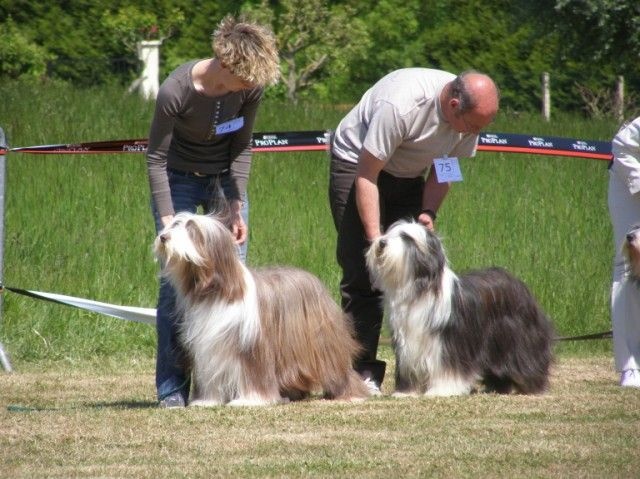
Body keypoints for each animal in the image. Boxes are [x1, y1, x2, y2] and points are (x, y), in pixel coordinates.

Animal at [153, 212, 368, 406]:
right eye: (174, 224)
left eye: (191, 229)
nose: (163, 237)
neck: (217, 291)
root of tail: (314, 279)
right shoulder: (210, 348)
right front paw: (207, 401)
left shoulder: (251, 348)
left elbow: (252, 376)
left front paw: (249, 400)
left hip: (323, 344)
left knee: (338, 368)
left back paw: (350, 393)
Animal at [365, 220, 554, 396]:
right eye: (390, 232)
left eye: (406, 237)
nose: (381, 242)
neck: (419, 289)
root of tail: (520, 285)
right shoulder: (408, 343)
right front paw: (405, 392)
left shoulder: (446, 343)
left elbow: (446, 368)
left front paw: (441, 389)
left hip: (519, 339)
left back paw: (533, 386)